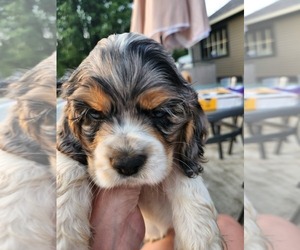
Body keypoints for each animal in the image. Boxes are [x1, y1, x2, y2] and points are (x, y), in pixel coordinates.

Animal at [57, 33, 224, 250]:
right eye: (94, 114)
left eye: (159, 112)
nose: (127, 164)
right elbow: (67, 167)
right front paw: (64, 235)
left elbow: (186, 180)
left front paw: (201, 238)